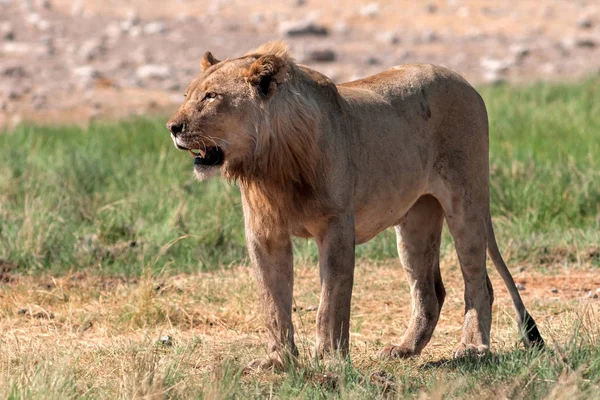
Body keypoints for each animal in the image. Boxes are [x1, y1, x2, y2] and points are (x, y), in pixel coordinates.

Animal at [166, 40, 548, 368]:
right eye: (186, 95)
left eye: (211, 97)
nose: (172, 126)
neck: (271, 164)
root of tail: (467, 83)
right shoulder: (264, 233)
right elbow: (273, 302)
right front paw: (278, 361)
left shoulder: (336, 226)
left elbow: (331, 301)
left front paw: (330, 358)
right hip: (416, 221)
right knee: (430, 291)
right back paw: (405, 349)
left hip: (466, 202)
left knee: (478, 281)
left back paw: (472, 348)